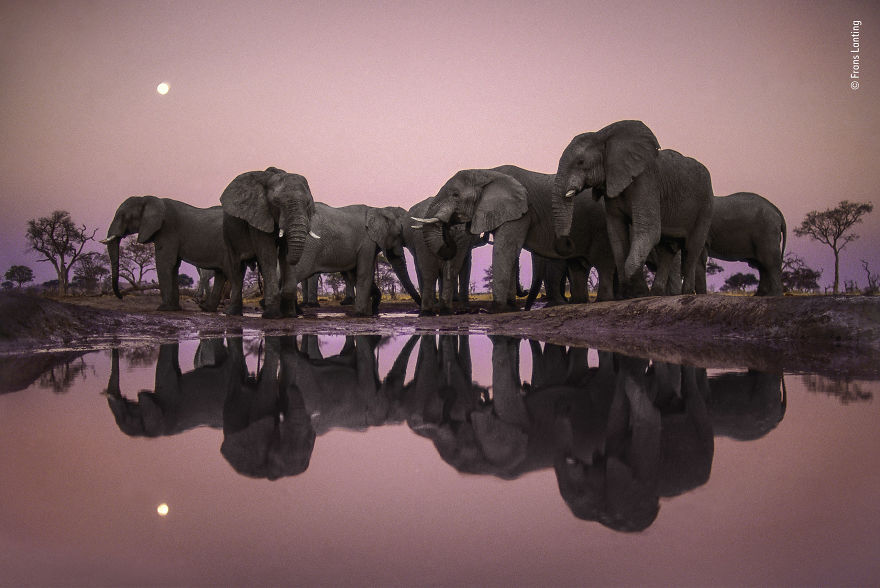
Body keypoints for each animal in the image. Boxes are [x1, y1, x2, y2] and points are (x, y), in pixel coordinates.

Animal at [101, 196, 230, 311]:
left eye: (123, 216)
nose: (121, 296)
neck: (148, 199)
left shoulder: (168, 230)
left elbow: (164, 263)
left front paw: (163, 308)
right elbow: (174, 266)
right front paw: (175, 308)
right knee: (220, 273)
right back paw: (206, 308)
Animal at [220, 167, 317, 318]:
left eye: (308, 204)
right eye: (276, 203)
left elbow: (282, 256)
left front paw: (289, 315)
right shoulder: (258, 216)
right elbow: (268, 255)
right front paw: (272, 315)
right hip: (228, 233)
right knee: (237, 268)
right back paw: (233, 314)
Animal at [287, 203, 420, 317]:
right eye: (399, 234)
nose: (415, 311)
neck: (379, 209)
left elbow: (357, 275)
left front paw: (370, 311)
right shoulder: (367, 243)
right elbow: (364, 274)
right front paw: (362, 314)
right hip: (309, 247)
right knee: (298, 272)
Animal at [419, 165, 596, 313]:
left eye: (455, 195)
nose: (448, 224)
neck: (487, 171)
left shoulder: (520, 212)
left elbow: (504, 250)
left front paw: (496, 309)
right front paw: (510, 307)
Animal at [554, 120, 714, 295]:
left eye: (581, 162)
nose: (567, 241)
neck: (603, 136)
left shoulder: (646, 182)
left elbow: (649, 231)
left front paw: (639, 292)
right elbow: (616, 233)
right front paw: (631, 293)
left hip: (705, 205)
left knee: (692, 248)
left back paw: (686, 292)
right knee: (667, 249)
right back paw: (657, 293)